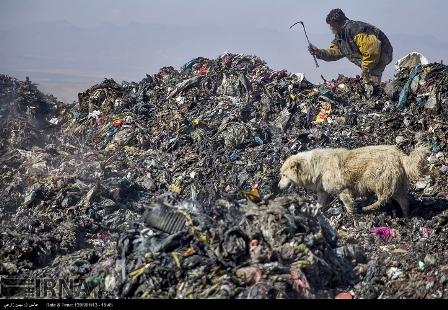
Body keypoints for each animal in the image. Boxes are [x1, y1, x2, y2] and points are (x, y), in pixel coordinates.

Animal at [278, 144, 428, 217]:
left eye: (284, 175)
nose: (278, 187)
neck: (316, 167)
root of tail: (400, 154)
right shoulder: (323, 190)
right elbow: (320, 202)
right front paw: (316, 209)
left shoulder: (342, 189)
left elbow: (347, 202)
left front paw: (350, 214)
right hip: (396, 183)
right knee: (403, 201)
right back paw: (406, 216)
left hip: (377, 178)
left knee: (383, 197)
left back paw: (368, 207)